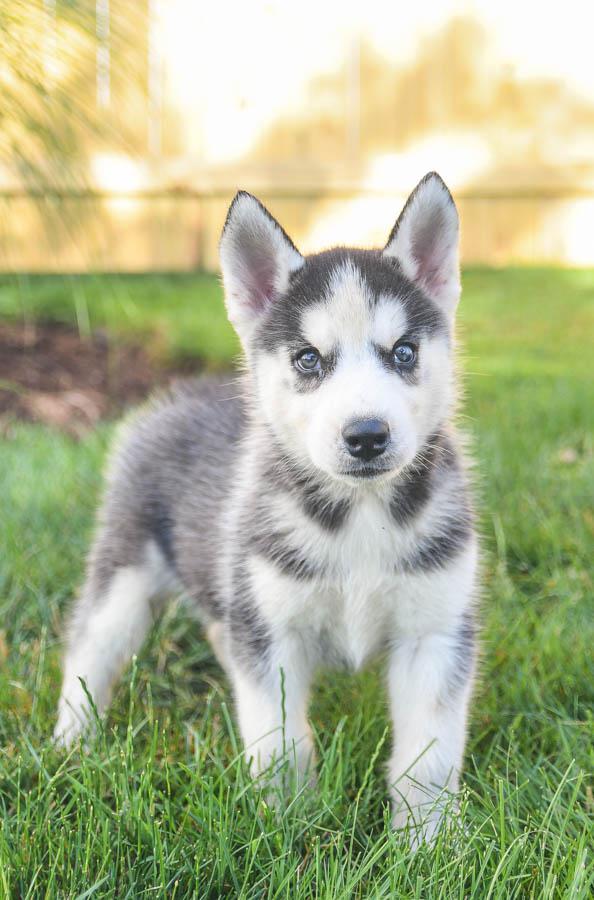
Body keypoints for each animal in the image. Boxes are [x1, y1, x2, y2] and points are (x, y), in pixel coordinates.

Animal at [55, 172, 478, 840]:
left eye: (404, 352)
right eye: (308, 358)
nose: (366, 435)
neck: (359, 513)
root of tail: (178, 394)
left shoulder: (433, 633)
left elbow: (429, 756)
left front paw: (428, 843)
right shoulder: (271, 633)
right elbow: (279, 742)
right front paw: (288, 831)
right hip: (125, 575)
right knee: (89, 649)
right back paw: (69, 745)